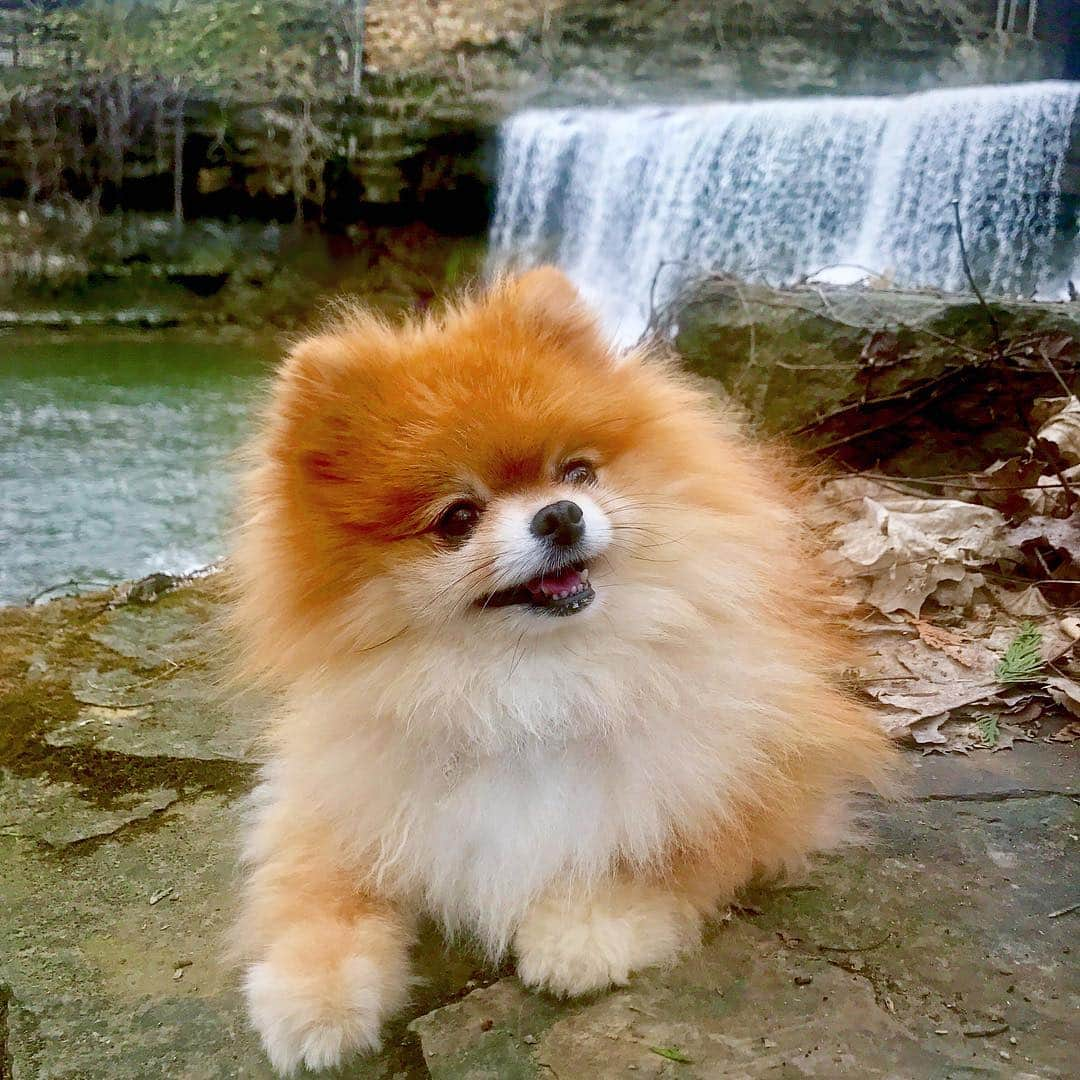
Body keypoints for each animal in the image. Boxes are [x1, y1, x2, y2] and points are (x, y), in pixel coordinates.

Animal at [230, 267, 894, 1071]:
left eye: (577, 472)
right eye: (457, 518)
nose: (560, 515)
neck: (527, 685)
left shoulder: (758, 781)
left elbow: (663, 850)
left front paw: (585, 928)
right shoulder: (338, 798)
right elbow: (316, 892)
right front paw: (313, 997)